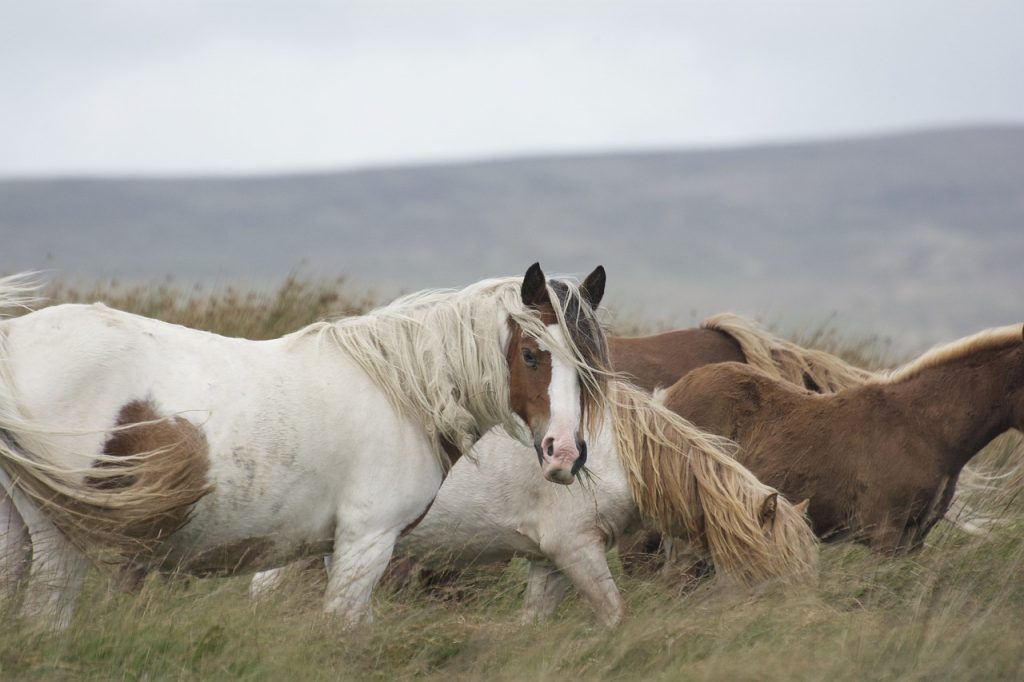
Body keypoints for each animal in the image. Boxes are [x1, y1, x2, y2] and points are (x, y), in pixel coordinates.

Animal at [0, 262, 606, 630]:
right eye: (531, 354)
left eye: (592, 364)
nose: (564, 454)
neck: (401, 390)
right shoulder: (367, 541)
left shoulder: (336, 546)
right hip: (62, 535)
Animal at [251, 378, 819, 622]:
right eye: (775, 572)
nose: (807, 624)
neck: (614, 453)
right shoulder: (577, 550)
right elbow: (615, 614)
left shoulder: (551, 561)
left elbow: (534, 622)